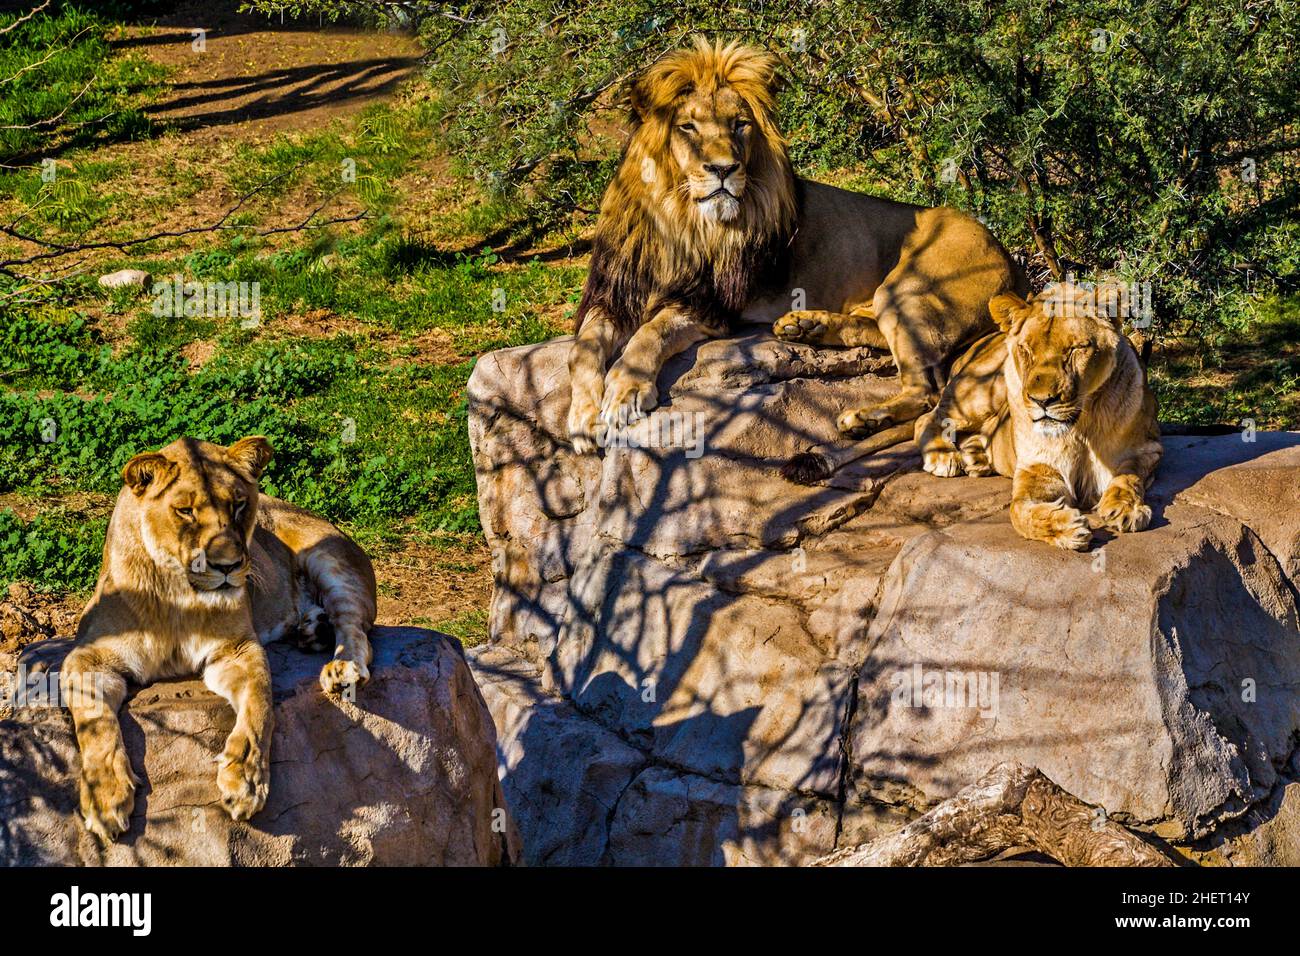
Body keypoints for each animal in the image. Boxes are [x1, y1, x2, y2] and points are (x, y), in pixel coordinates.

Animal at [51, 436, 377, 842]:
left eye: (238, 504)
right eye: (185, 511)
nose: (229, 566)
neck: (178, 597)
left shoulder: (236, 649)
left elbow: (260, 704)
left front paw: (246, 781)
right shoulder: (88, 656)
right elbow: (95, 723)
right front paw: (105, 796)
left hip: (330, 558)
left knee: (356, 625)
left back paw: (341, 667)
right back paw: (313, 629)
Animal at [567, 37, 1024, 461]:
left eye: (740, 124)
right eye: (687, 127)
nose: (724, 169)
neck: (677, 218)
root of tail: (1007, 254)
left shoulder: (711, 305)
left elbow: (651, 332)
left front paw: (624, 393)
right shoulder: (615, 294)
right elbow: (583, 348)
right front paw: (583, 418)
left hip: (912, 288)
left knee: (926, 390)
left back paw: (861, 417)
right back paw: (807, 326)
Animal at [913, 285, 1163, 550]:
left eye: (1075, 349)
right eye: (1026, 350)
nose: (1042, 401)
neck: (1081, 427)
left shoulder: (1147, 449)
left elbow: (1128, 476)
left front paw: (1125, 508)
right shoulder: (1039, 467)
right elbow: (1019, 510)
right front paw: (1064, 527)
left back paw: (976, 459)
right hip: (980, 392)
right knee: (927, 418)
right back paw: (944, 457)